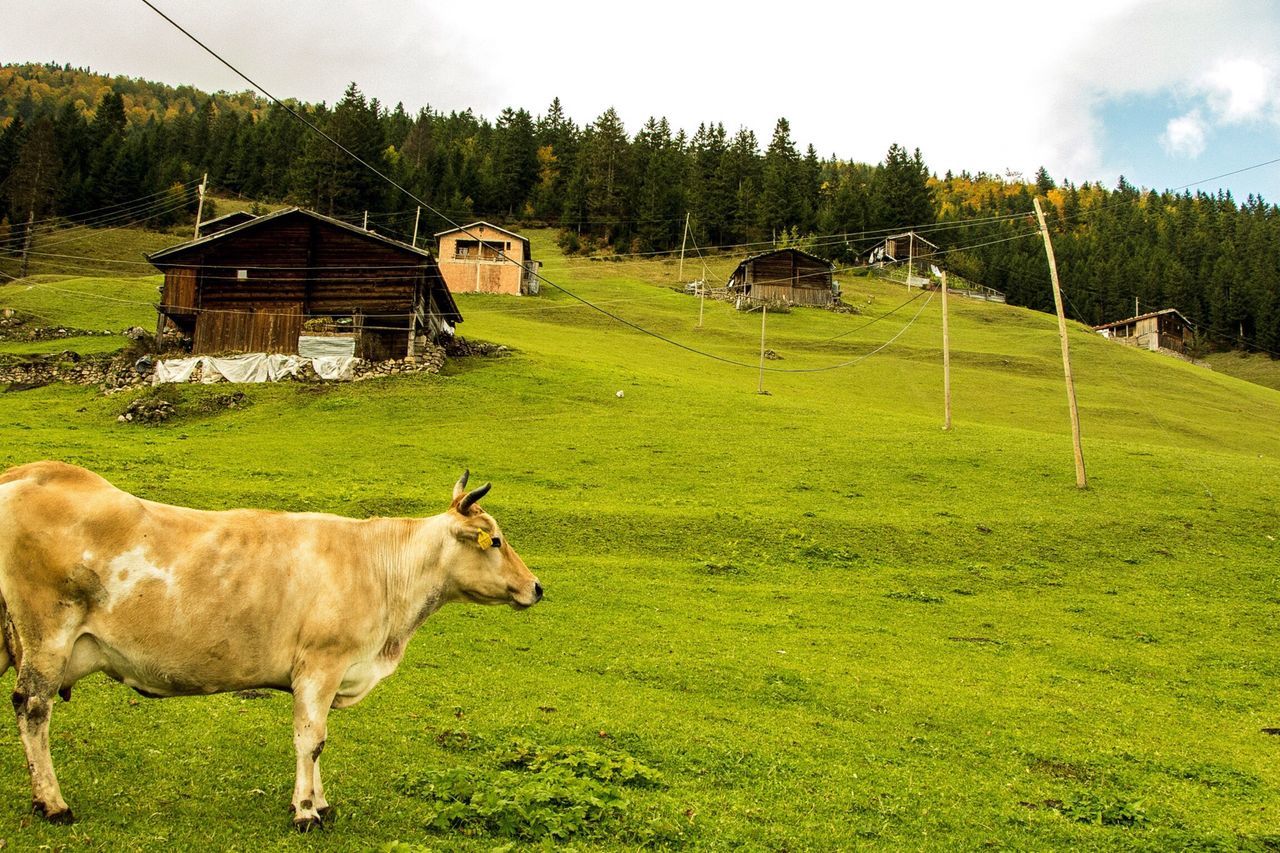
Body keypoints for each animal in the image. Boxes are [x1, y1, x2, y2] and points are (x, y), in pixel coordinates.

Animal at [0, 461, 542, 824]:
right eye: (495, 541)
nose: (536, 587)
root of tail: (30, 472)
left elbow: (317, 739)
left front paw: (319, 802)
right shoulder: (321, 665)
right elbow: (311, 738)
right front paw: (305, 811)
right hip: (47, 636)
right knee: (32, 707)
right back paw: (52, 802)